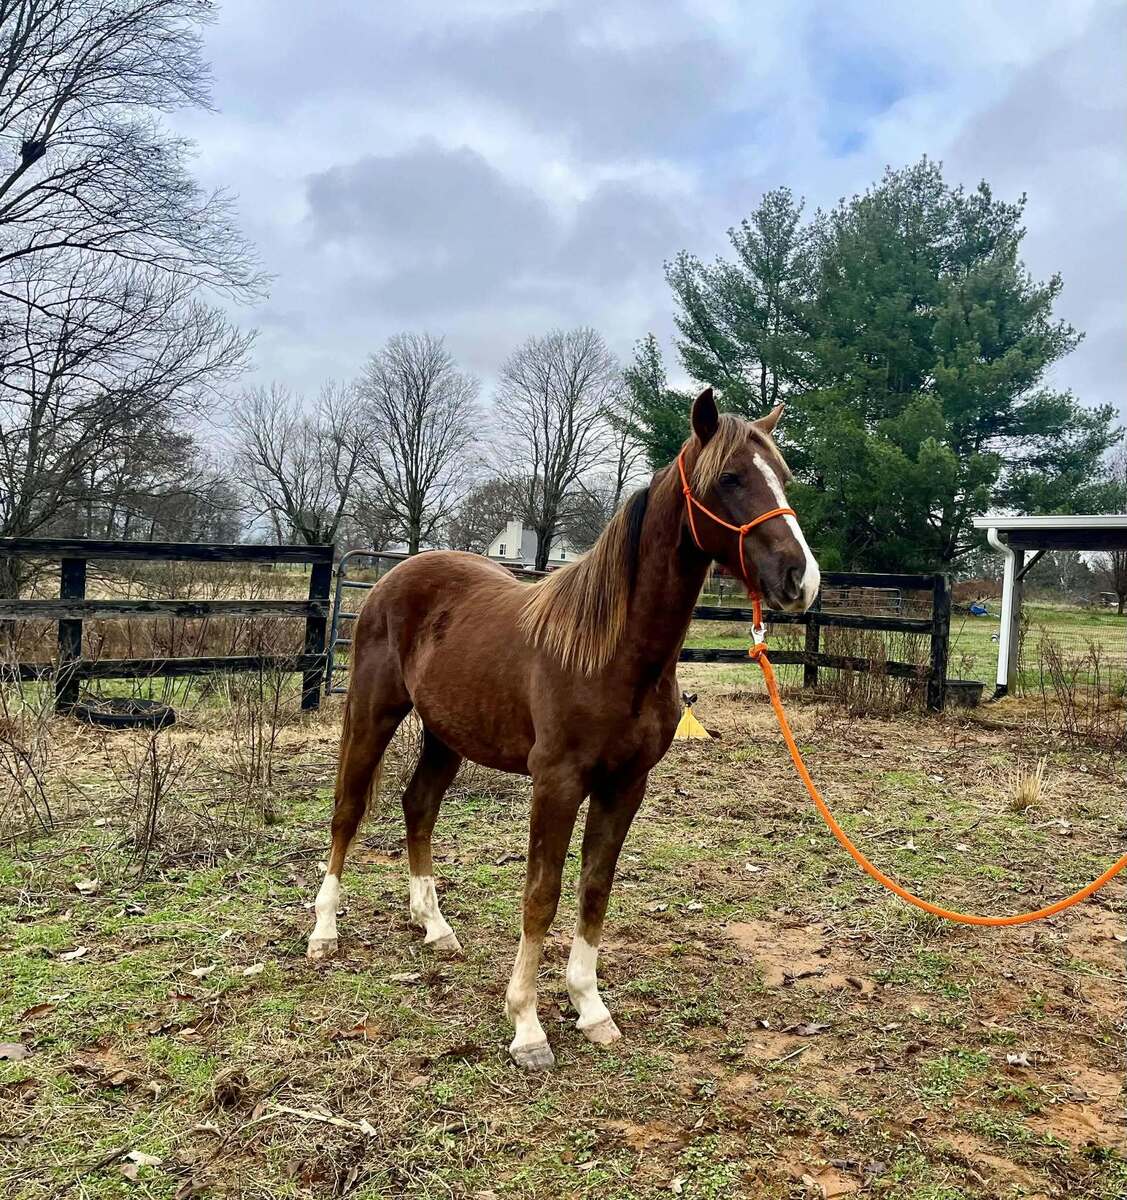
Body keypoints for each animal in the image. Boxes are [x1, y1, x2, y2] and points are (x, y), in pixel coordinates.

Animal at [307, 388, 820, 1070]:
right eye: (731, 478)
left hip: (447, 734)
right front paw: (527, 1026)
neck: (613, 652)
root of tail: (394, 574)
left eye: (782, 476)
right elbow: (542, 894)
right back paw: (324, 933)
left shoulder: (625, 785)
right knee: (348, 811)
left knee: (418, 805)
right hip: (372, 714)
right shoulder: (557, 783)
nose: (801, 578)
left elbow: (594, 888)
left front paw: (590, 1008)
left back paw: (435, 927)